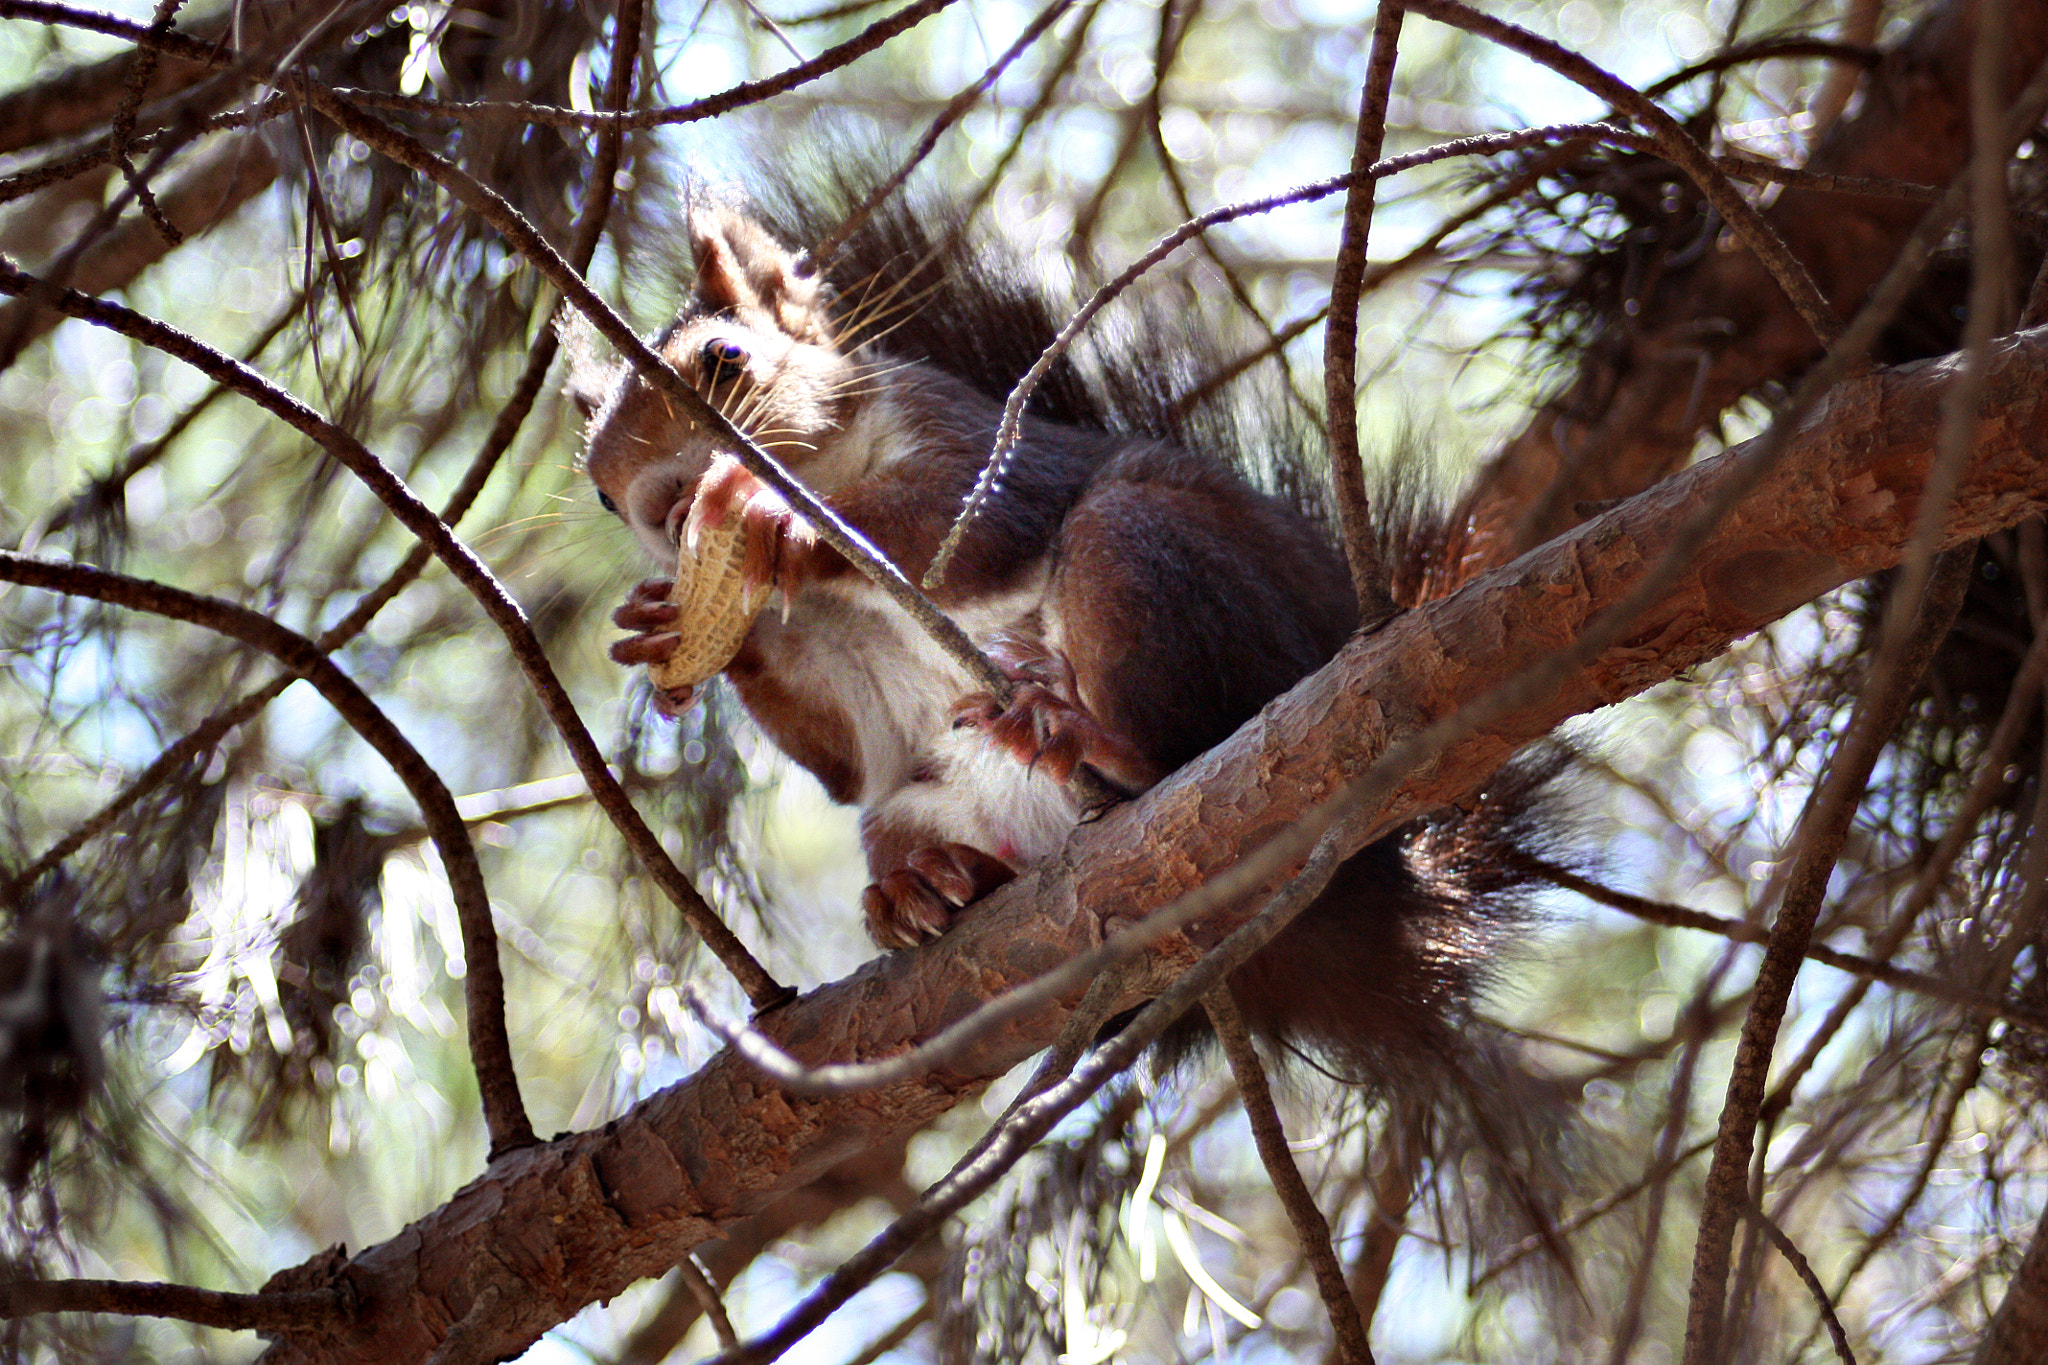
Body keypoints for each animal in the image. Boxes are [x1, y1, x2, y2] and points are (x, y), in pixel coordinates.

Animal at [569, 184, 1556, 1088]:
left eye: (725, 359)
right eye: (600, 491)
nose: (660, 506)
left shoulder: (970, 443)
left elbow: (964, 522)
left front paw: (778, 518)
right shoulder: (835, 666)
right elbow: (840, 750)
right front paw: (670, 625)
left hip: (1141, 555)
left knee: (1172, 722)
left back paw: (1087, 739)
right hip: (919, 800)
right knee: (896, 808)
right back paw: (928, 882)